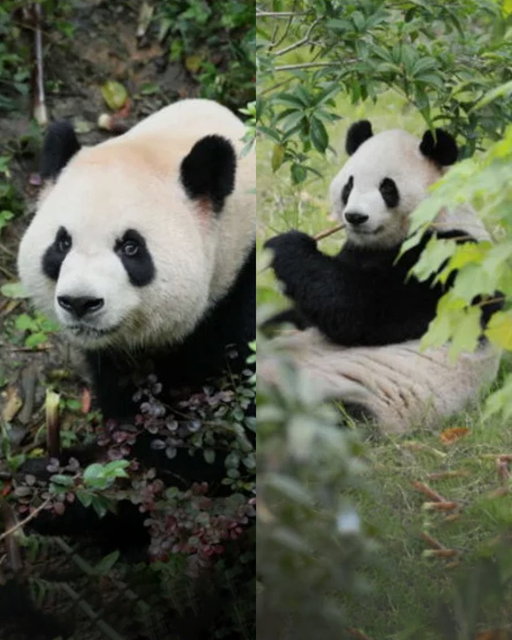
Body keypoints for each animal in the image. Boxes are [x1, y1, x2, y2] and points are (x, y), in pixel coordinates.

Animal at [263, 120, 501, 431]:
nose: (355, 217)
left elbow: (362, 310)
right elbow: (307, 310)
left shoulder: (448, 261)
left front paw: (286, 246)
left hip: (346, 395)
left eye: (387, 188)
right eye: (349, 185)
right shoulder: (357, 250)